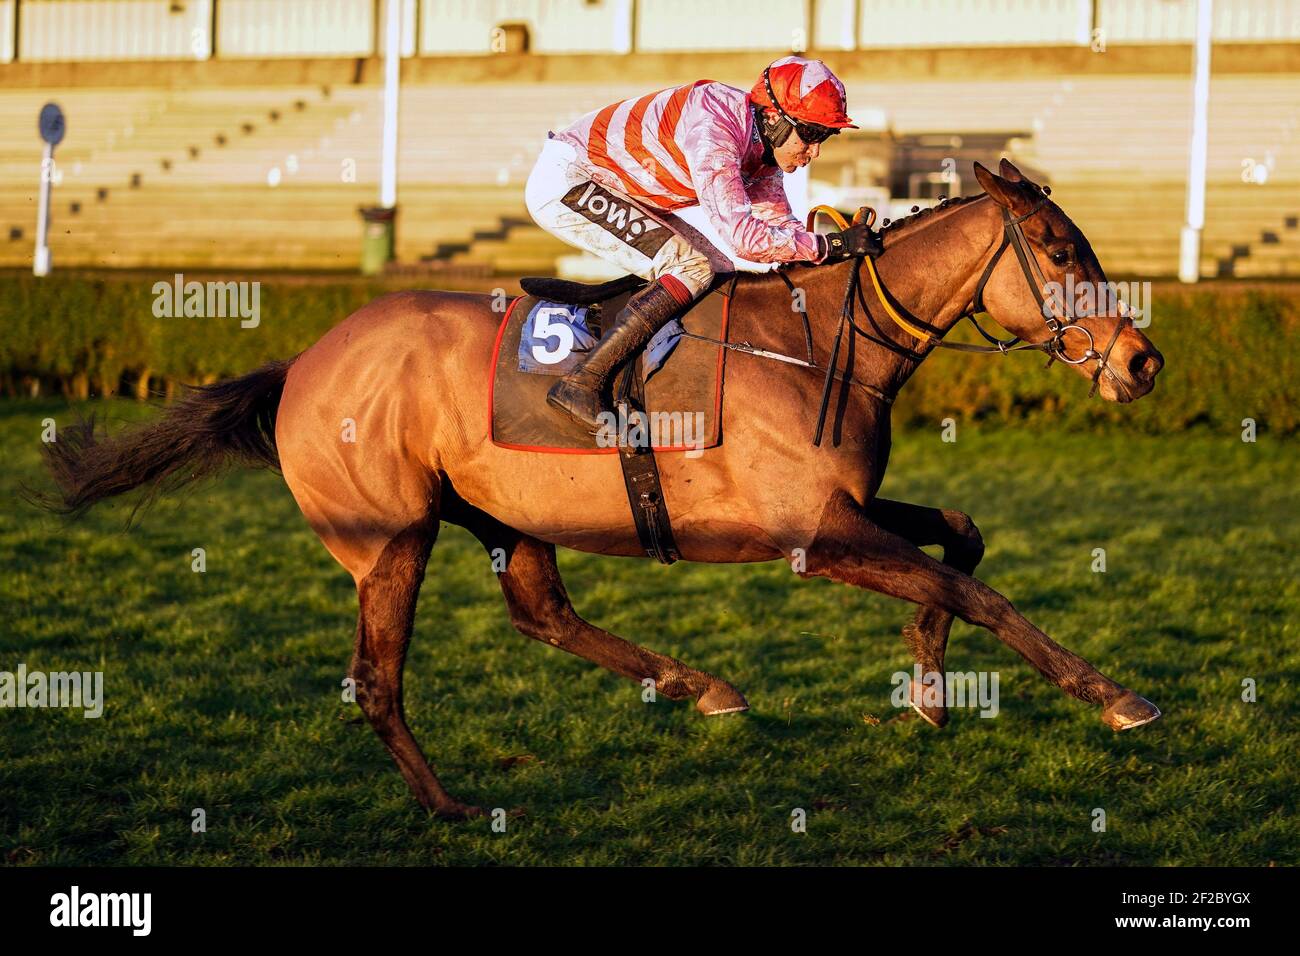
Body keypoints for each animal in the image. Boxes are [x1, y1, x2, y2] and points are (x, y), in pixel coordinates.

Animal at [35, 160, 1170, 816]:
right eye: (1059, 247)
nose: (1144, 360)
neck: (818, 340)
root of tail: (301, 363)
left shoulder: (841, 512)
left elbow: (961, 542)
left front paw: (927, 687)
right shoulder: (813, 532)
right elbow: (974, 589)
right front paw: (1115, 696)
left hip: (507, 513)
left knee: (540, 612)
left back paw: (698, 684)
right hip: (391, 535)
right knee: (378, 678)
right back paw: (447, 805)